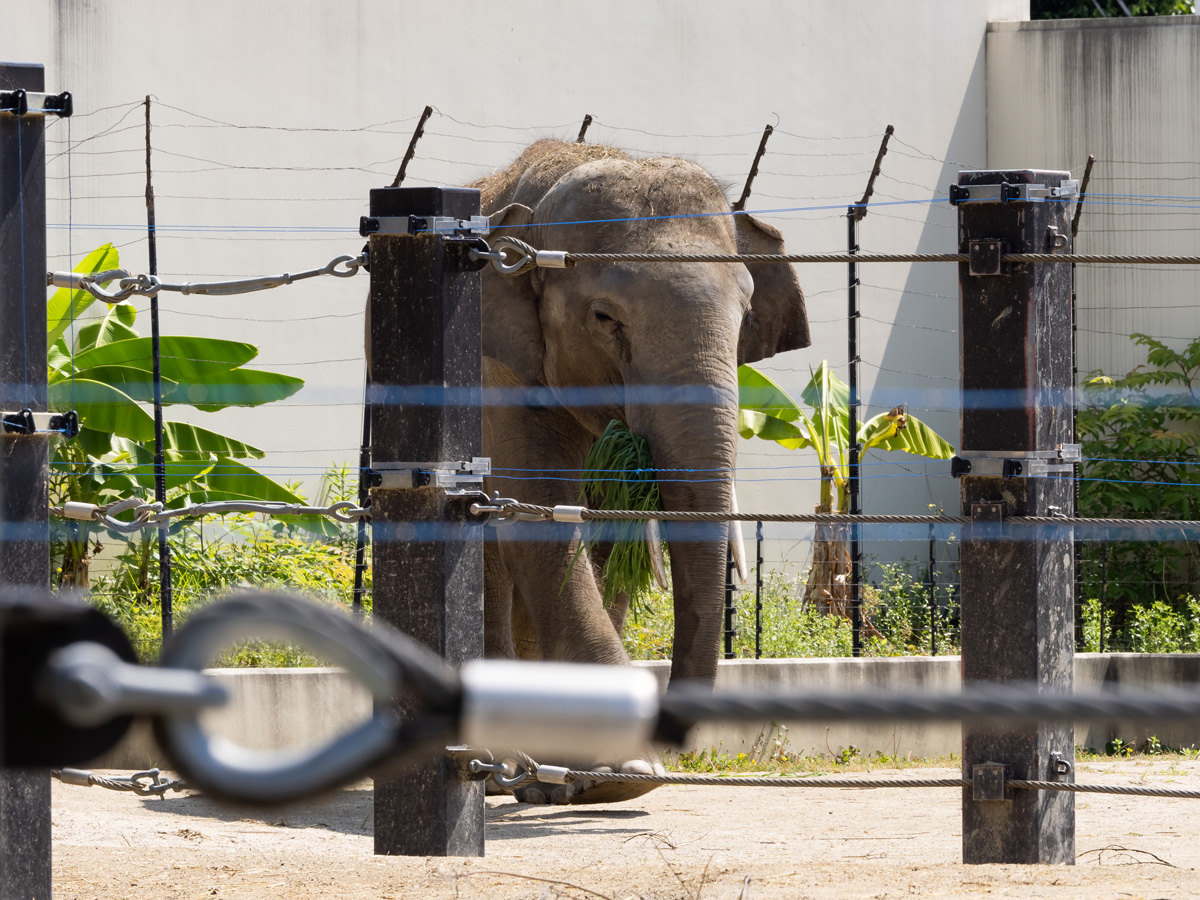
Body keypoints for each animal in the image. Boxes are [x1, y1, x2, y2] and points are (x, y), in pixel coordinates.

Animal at [472, 139, 811, 801]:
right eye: (606, 318)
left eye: (745, 312)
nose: (669, 735)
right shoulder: (498, 364)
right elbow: (534, 510)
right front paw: (627, 774)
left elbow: (607, 533)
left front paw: (602, 779)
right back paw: (500, 770)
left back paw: (541, 781)